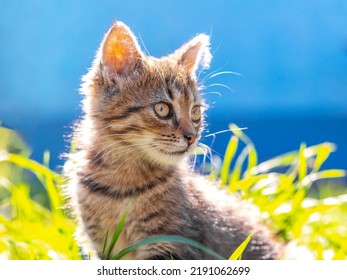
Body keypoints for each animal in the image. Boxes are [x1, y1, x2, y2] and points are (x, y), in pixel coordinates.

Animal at [64, 20, 282, 260]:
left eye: (195, 112)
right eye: (162, 109)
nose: (192, 137)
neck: (122, 183)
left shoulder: (170, 244)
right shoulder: (103, 246)